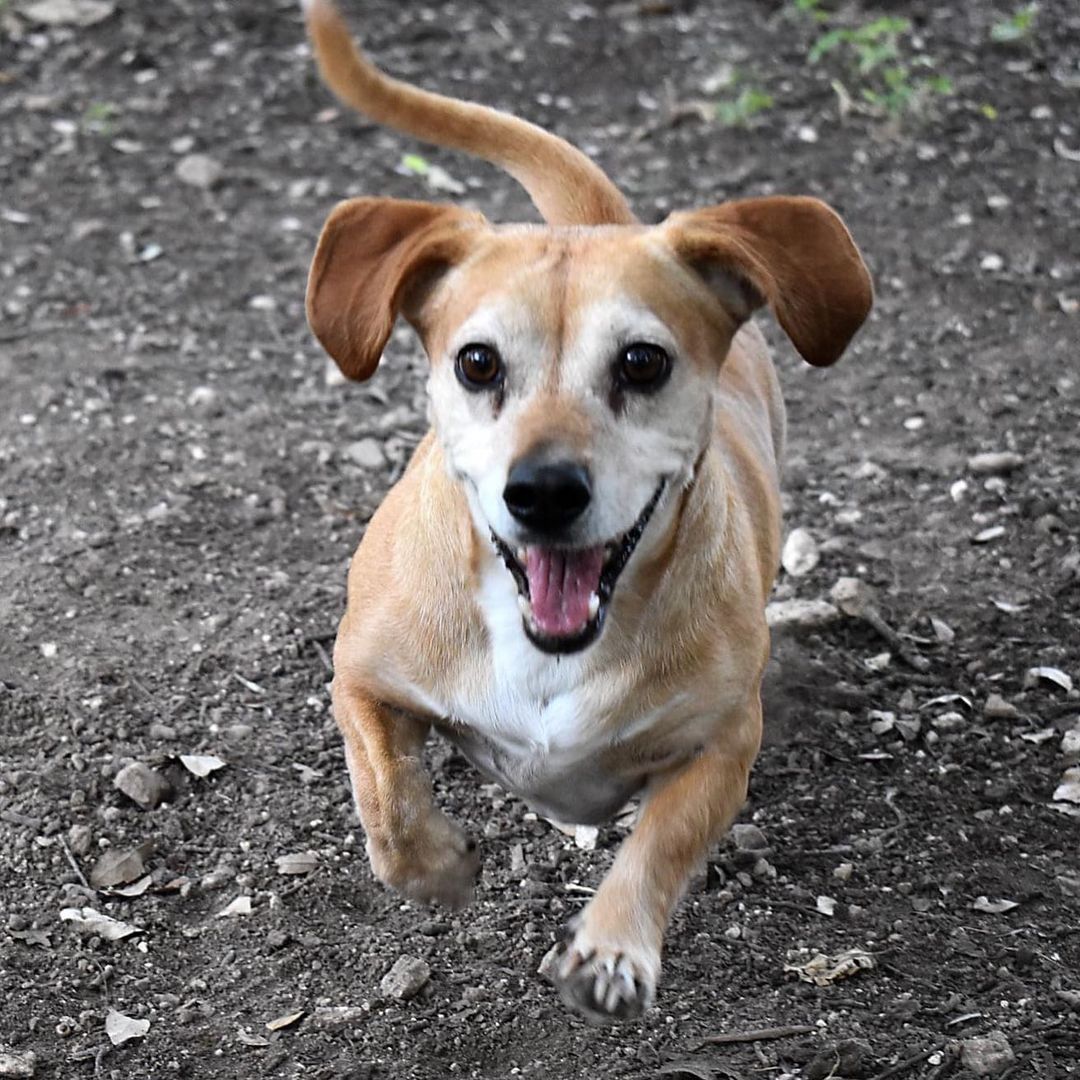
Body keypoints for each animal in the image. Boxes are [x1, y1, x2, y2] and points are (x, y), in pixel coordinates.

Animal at [300, 0, 872, 1019]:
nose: (542, 492)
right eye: (476, 362)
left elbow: (664, 840)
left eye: (642, 362)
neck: (548, 650)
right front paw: (438, 868)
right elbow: (387, 801)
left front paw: (612, 949)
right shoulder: (361, 677)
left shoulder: (725, 739)